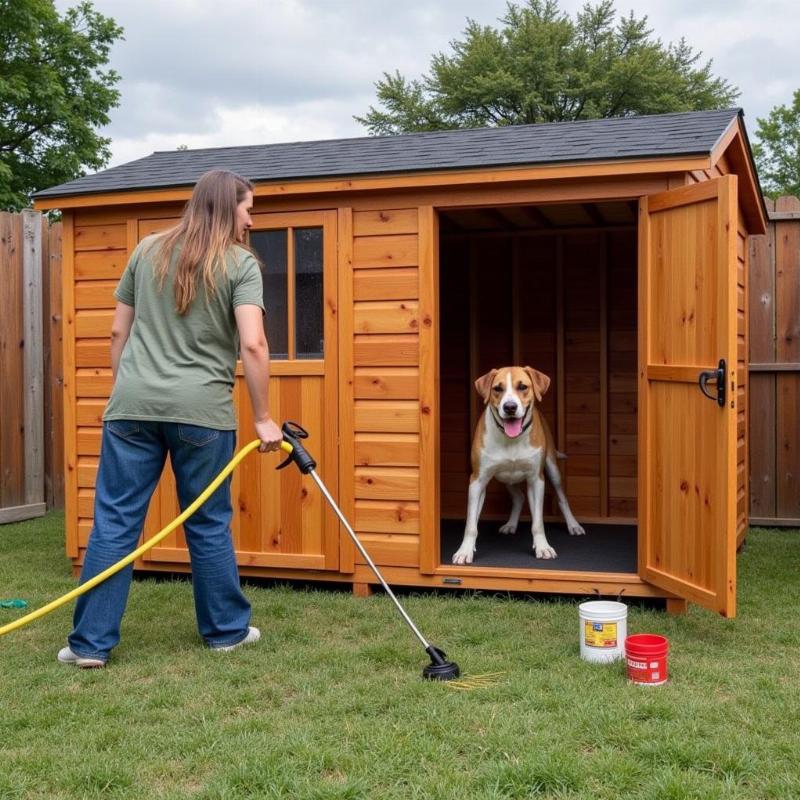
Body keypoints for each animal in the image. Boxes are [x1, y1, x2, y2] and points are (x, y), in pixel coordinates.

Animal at [450, 366, 588, 564]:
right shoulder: (477, 481)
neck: (511, 439)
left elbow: (538, 523)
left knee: (561, 497)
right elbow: (471, 524)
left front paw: (543, 547)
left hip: (552, 469)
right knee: (519, 497)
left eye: (522, 386)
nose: (510, 407)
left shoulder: (536, 480)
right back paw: (510, 524)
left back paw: (573, 525)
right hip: (507, 478)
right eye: (497, 389)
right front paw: (465, 550)